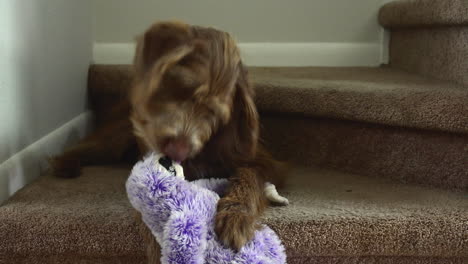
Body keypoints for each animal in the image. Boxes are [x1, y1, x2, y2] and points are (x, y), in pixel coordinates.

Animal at [53, 21, 284, 262]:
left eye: (214, 114)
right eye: (181, 86)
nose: (177, 151)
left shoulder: (265, 162)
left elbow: (249, 176)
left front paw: (236, 216)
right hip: (117, 137)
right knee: (88, 146)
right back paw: (65, 163)